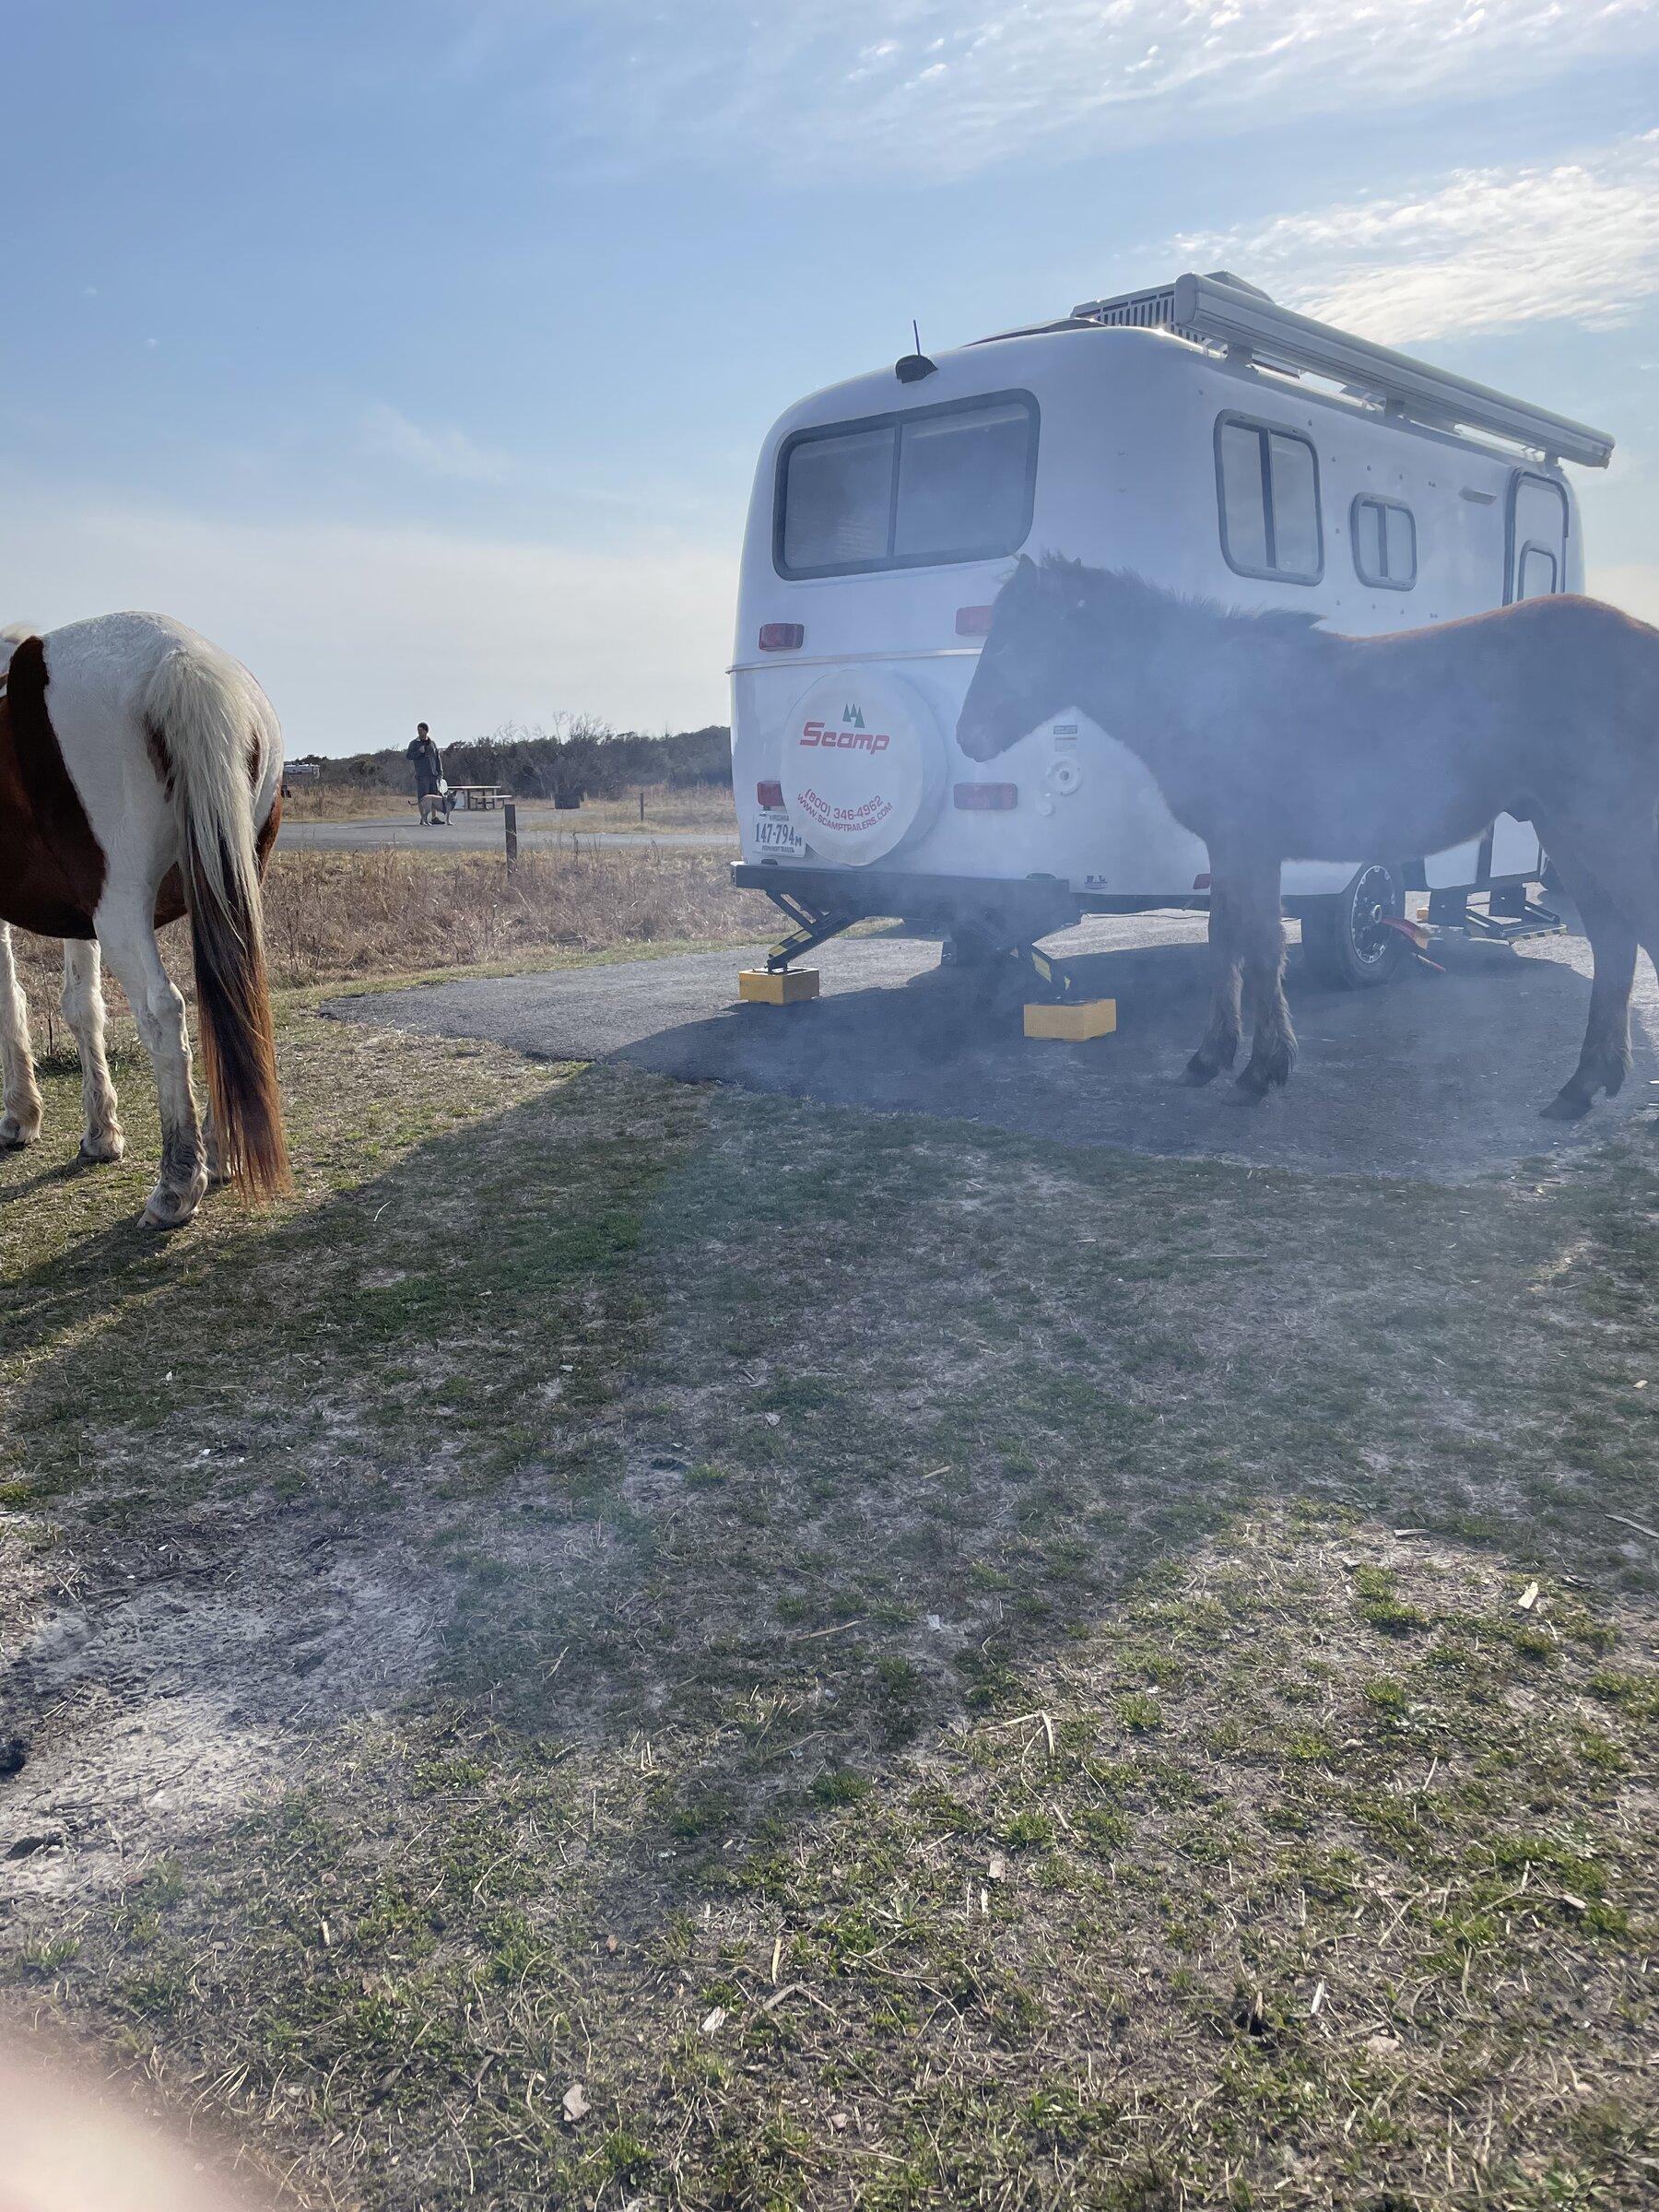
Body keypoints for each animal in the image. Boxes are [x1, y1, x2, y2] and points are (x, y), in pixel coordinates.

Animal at [0, 612, 289, 1228]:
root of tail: (182, 660)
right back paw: (219, 1151)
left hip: (121, 907)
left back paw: (178, 1182)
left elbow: (10, 1000)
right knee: (228, 991)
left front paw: (20, 1114)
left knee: (163, 1012)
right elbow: (81, 1007)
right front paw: (100, 1133)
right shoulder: (79, 918)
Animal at [957, 555, 1659, 1120]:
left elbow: (1262, 950)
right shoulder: (1228, 850)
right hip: (1570, 832)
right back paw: (1581, 1087)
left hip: (1600, 829)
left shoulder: (1251, 846)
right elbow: (1225, 944)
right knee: (1614, 944)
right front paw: (1210, 1057)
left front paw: (1261, 1071)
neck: (1204, 693)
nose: (969, 738)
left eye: (1022, 639)